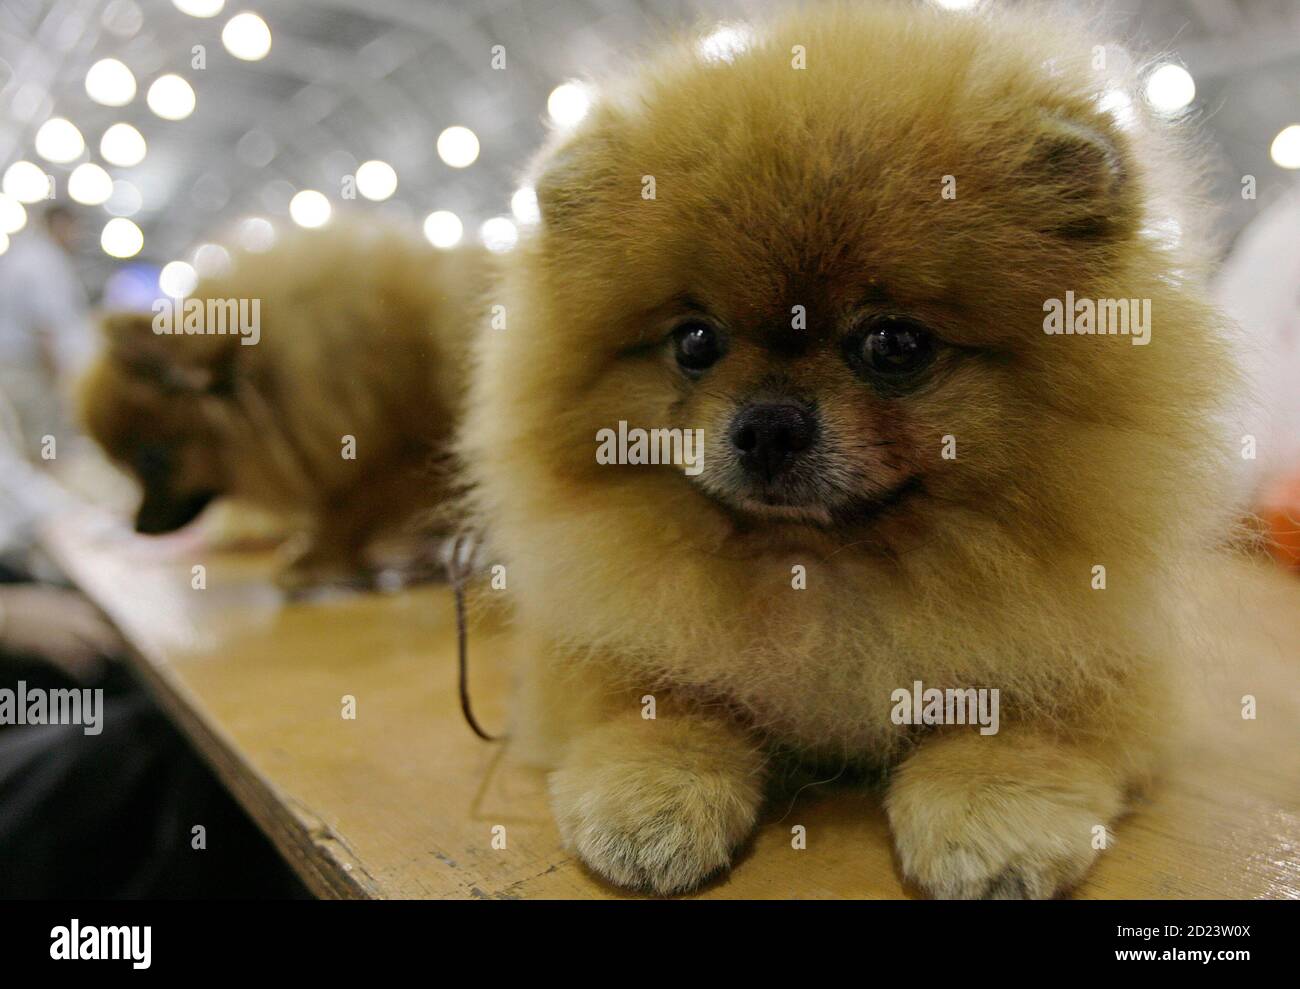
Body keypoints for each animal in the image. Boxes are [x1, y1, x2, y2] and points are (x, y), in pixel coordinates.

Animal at [462, 1, 1242, 894]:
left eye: (894, 344)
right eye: (694, 341)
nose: (769, 423)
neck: (822, 573)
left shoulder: (1094, 643)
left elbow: (1030, 713)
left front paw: (993, 813)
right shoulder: (608, 628)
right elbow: (651, 696)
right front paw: (653, 794)